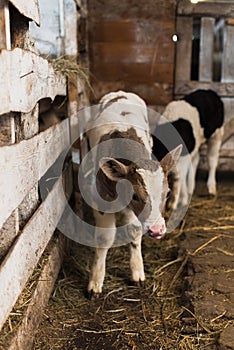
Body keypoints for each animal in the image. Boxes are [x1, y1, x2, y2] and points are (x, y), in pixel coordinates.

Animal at [85, 91, 182, 298]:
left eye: (167, 193)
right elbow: (104, 238)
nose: (157, 230)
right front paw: (95, 282)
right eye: (135, 195)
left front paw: (137, 272)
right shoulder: (100, 199)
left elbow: (134, 232)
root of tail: (120, 93)